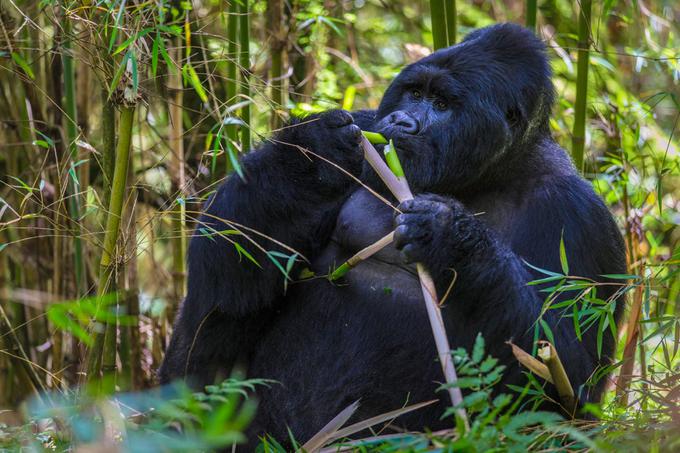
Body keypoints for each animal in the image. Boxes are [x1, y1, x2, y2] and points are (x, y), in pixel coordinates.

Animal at [159, 23, 628, 444]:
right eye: (414, 94)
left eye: (441, 103)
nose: (402, 121)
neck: (489, 173)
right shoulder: (368, 123)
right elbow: (234, 266)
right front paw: (312, 152)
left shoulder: (580, 218)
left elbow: (563, 378)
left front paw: (451, 238)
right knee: (210, 316)